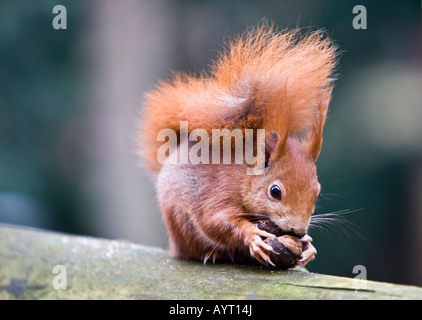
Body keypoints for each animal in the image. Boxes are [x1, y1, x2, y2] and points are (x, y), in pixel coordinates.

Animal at [139, 21, 340, 268]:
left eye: (318, 193)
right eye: (275, 191)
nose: (298, 230)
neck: (244, 177)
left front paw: (308, 246)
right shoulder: (219, 191)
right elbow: (216, 221)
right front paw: (253, 236)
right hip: (180, 222)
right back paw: (215, 254)